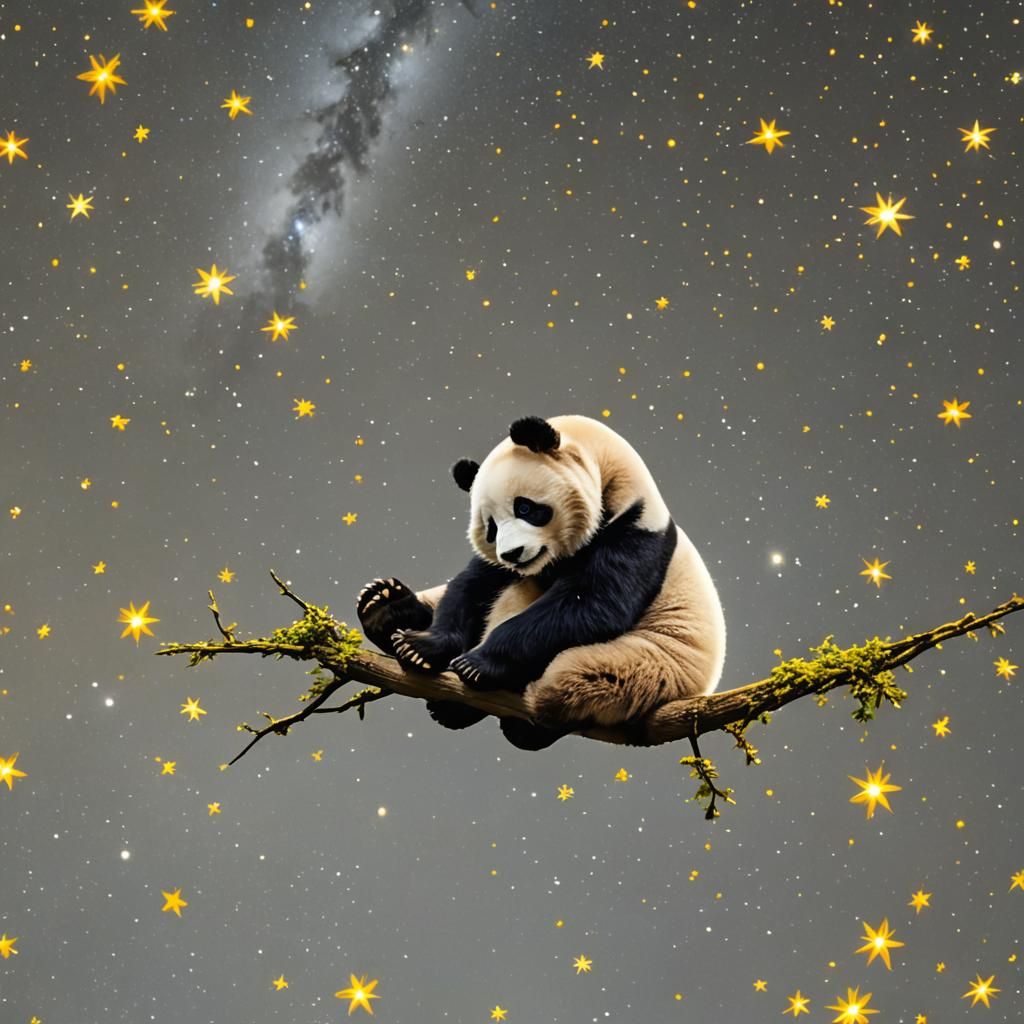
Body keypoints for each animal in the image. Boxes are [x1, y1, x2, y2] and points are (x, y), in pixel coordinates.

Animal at [356, 415, 726, 749]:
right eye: (490, 527)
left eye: (525, 508)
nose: (512, 553)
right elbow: (472, 585)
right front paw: (421, 647)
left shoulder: (636, 534)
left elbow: (590, 605)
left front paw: (476, 663)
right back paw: (383, 606)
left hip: (654, 663)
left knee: (571, 679)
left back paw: (499, 716)